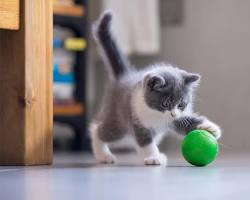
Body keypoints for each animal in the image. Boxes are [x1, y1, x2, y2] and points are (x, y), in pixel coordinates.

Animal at [89, 11, 221, 166]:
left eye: (181, 104)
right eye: (165, 103)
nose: (173, 114)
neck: (157, 115)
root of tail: (125, 76)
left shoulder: (176, 119)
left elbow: (186, 122)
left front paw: (210, 128)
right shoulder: (138, 120)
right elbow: (145, 140)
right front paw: (153, 157)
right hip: (118, 121)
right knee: (99, 130)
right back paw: (103, 155)